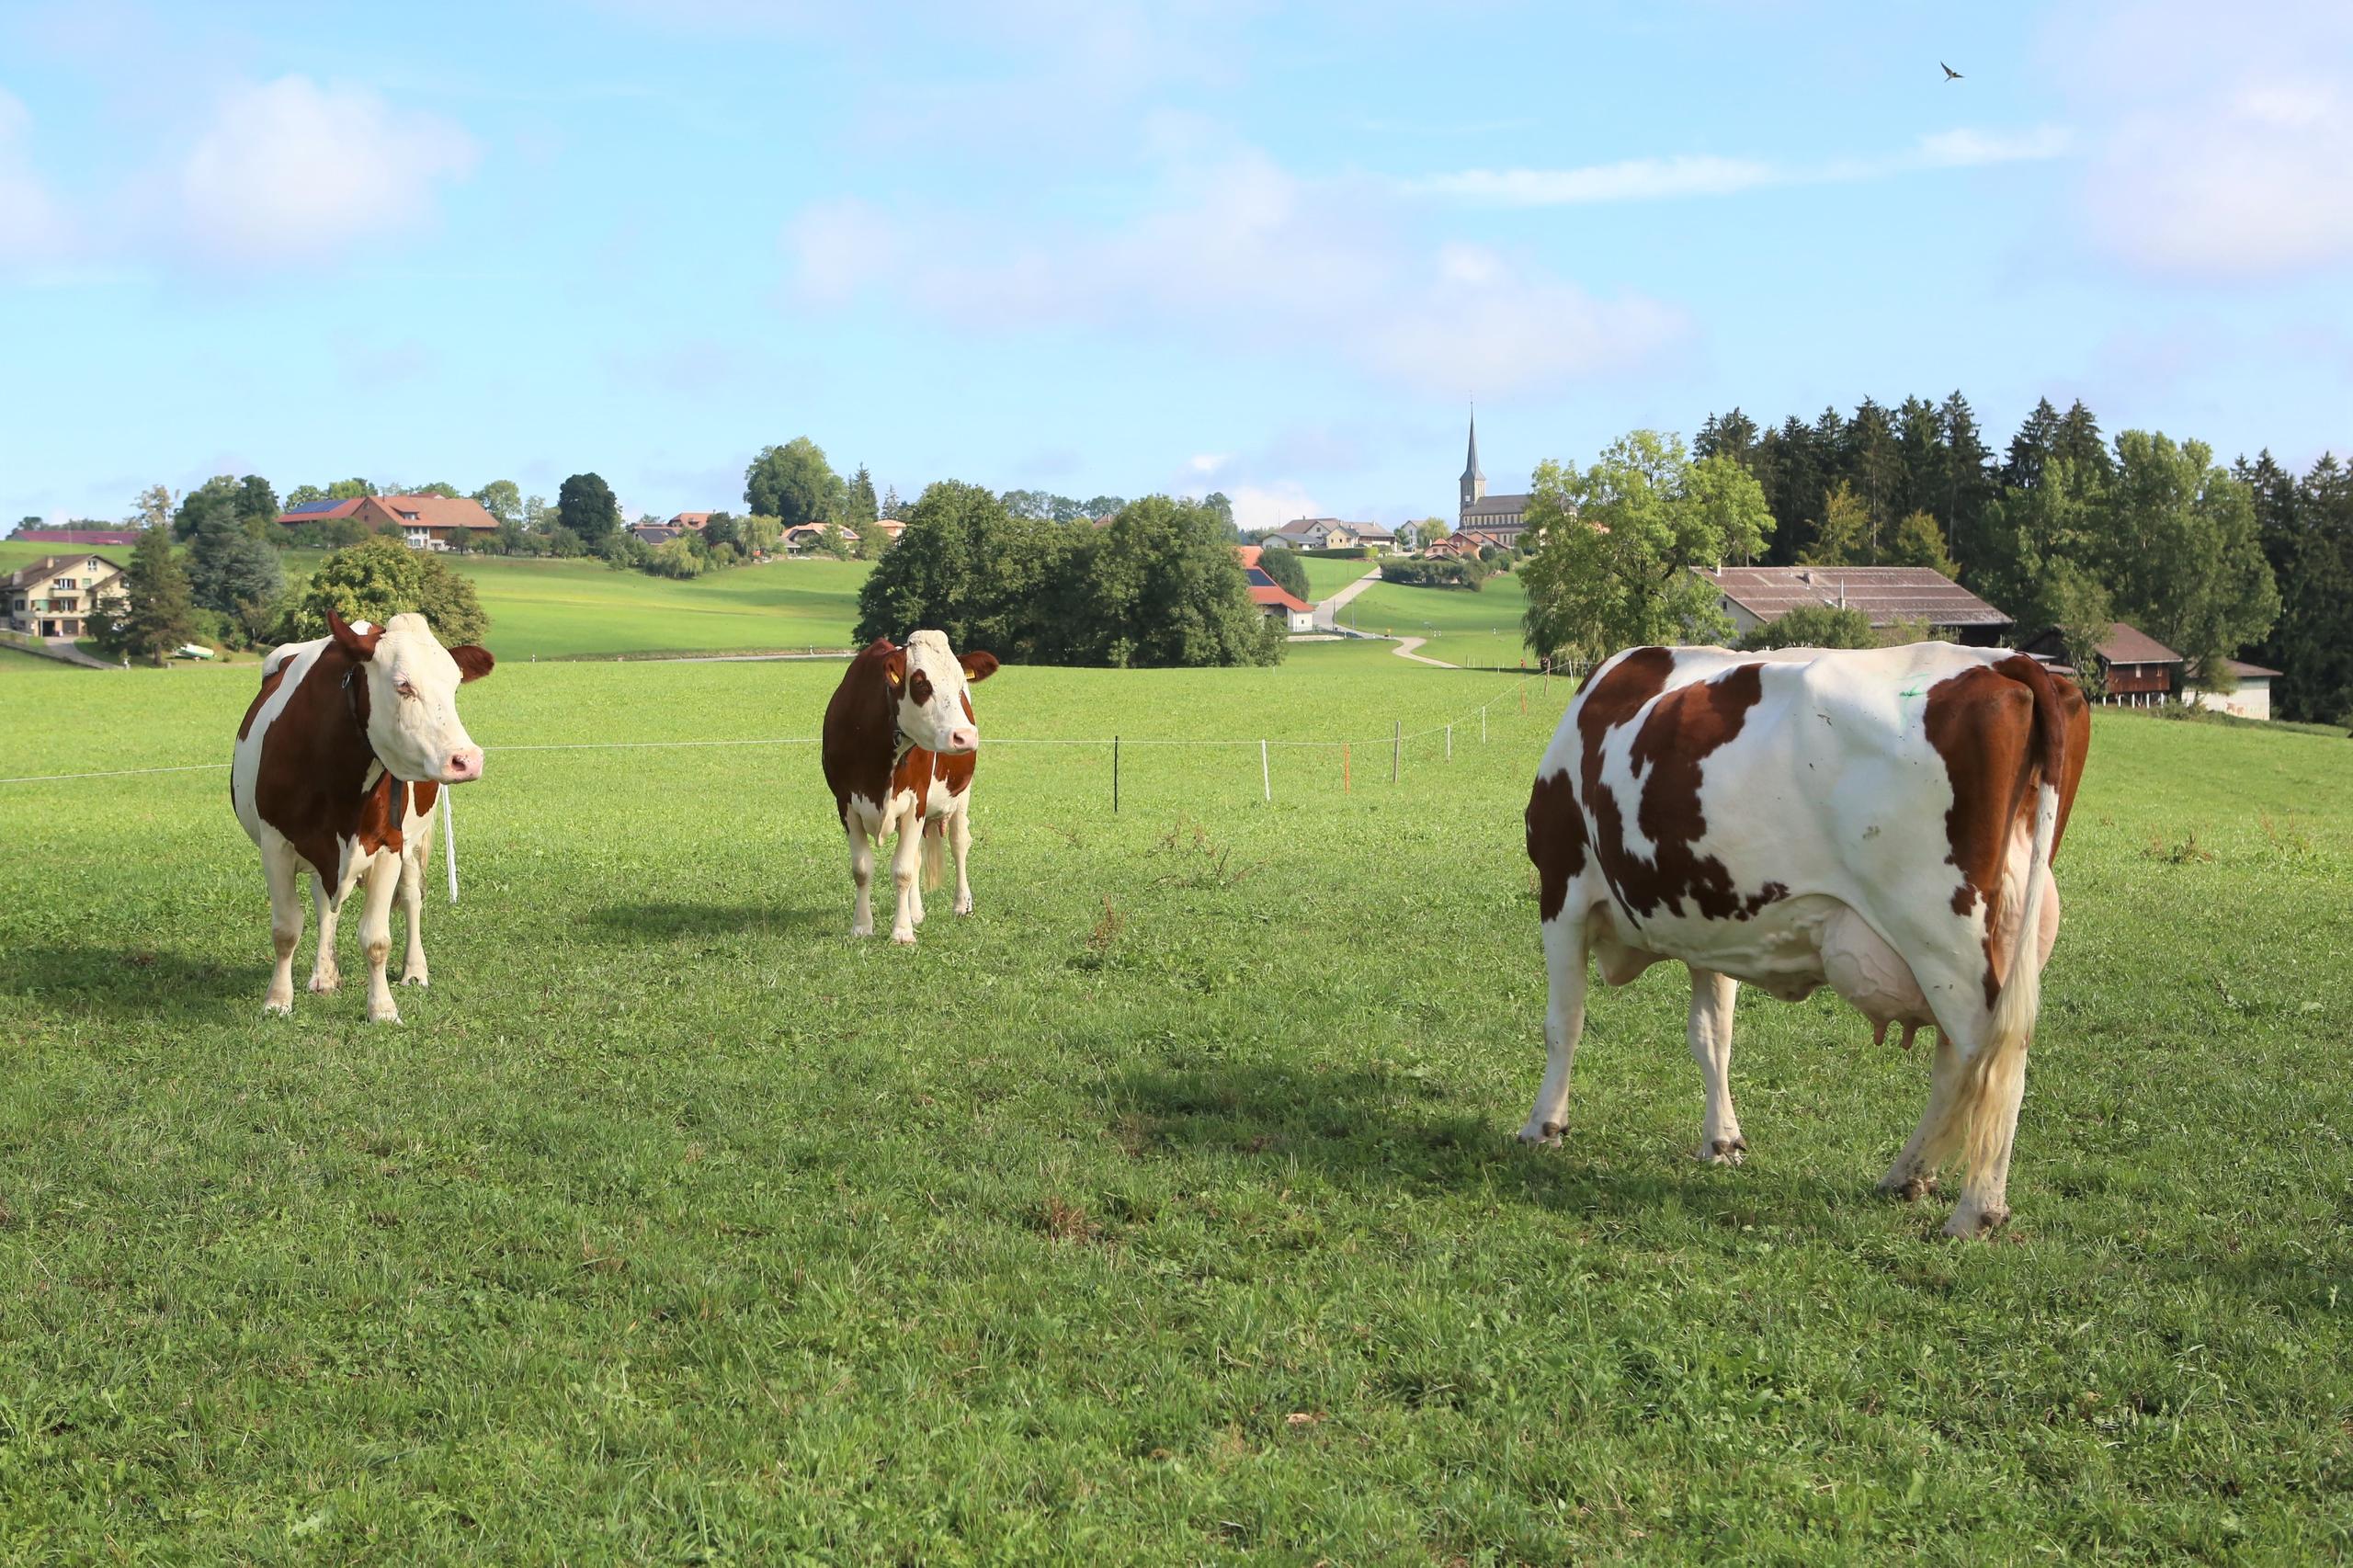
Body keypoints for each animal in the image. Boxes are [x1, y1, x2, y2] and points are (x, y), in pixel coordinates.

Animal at [232, 602, 494, 1021]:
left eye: (454, 686)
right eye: (403, 684)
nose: (467, 760)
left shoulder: (387, 844)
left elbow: (376, 938)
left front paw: (382, 1008)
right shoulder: (275, 844)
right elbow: (286, 929)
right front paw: (278, 999)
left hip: (410, 841)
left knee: (411, 896)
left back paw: (414, 971)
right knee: (324, 903)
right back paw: (323, 975)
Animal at [824, 626, 997, 941]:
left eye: (959, 684)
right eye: (920, 683)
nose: (965, 736)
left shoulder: (916, 801)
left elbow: (902, 870)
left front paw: (902, 932)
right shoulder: (845, 804)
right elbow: (862, 868)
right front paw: (862, 926)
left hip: (961, 793)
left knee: (959, 843)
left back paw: (961, 904)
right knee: (917, 856)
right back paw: (916, 911)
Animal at [1524, 635, 2098, 1233]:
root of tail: (2005, 661)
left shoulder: (1561, 888)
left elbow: (1564, 1023)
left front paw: (1544, 1126)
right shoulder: (1712, 919)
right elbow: (1712, 1036)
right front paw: (1722, 1141)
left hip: (1939, 933)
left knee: (1988, 1055)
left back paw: (1974, 1210)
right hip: (2000, 932)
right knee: (1963, 1060)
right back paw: (1907, 1176)